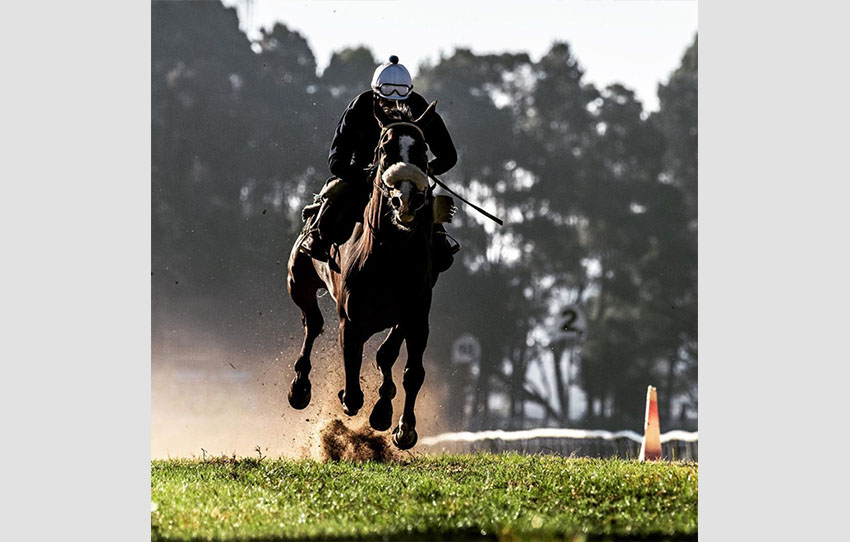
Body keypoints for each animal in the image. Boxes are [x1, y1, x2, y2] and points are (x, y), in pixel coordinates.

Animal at [288, 100, 440, 452]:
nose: (406, 198)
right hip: (298, 280)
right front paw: (351, 398)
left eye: (422, 149)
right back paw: (300, 388)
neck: (390, 256)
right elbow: (353, 388)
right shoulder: (352, 321)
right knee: (312, 323)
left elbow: (410, 370)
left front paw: (401, 426)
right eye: (385, 148)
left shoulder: (416, 318)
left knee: (384, 354)